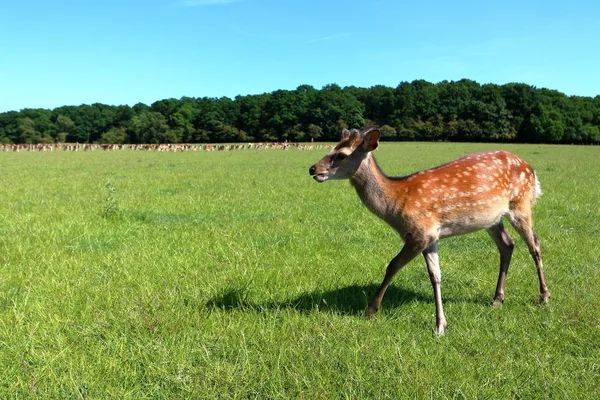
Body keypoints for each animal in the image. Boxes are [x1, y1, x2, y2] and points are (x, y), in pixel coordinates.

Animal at [312, 126, 552, 336]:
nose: (312, 169)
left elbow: (393, 265)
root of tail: (531, 169)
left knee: (535, 244)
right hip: (491, 219)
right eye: (332, 147)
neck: (395, 204)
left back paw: (544, 297)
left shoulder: (420, 232)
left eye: (341, 154)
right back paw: (497, 299)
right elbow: (435, 276)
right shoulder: (430, 236)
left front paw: (371, 309)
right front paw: (441, 324)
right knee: (507, 245)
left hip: (521, 204)